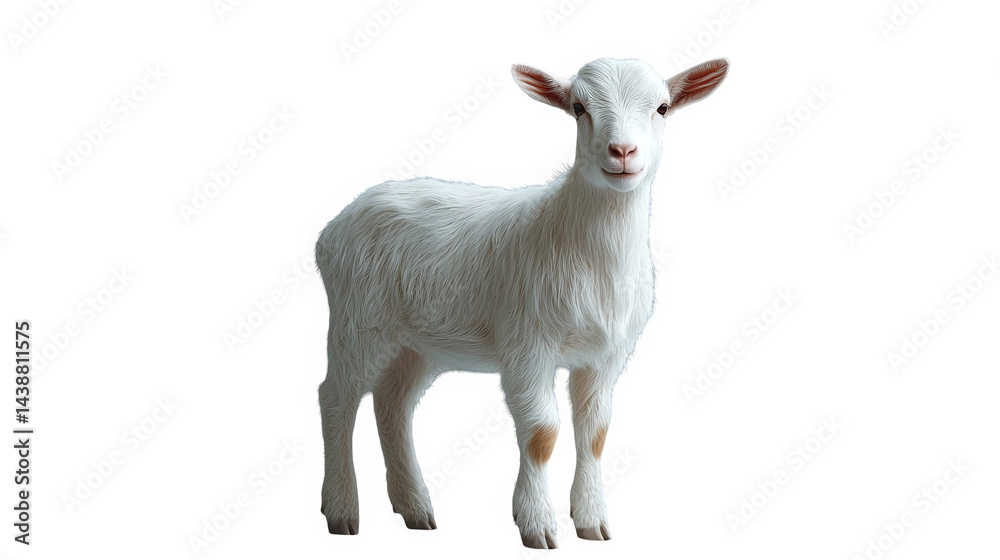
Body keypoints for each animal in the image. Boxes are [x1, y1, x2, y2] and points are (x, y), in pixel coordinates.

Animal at [315, 57, 728, 549]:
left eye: (662, 107)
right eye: (578, 107)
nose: (622, 152)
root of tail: (335, 225)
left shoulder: (606, 356)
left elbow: (595, 433)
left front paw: (592, 522)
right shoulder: (528, 345)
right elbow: (541, 433)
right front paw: (537, 524)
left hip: (418, 344)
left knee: (393, 406)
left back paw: (415, 508)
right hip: (358, 321)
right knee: (336, 398)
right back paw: (342, 510)